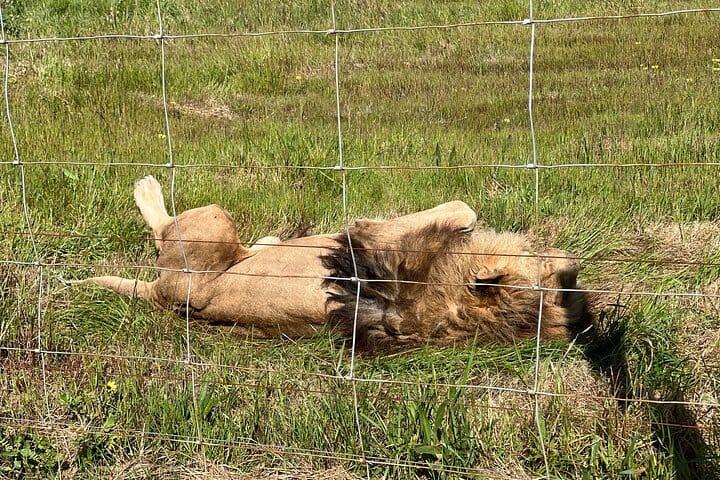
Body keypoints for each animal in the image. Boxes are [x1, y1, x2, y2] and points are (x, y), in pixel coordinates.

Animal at [83, 176, 587, 352]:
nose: (569, 259)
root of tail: (164, 297)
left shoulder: (368, 230)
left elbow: (464, 208)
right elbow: (466, 209)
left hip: (213, 222)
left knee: (163, 228)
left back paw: (147, 185)